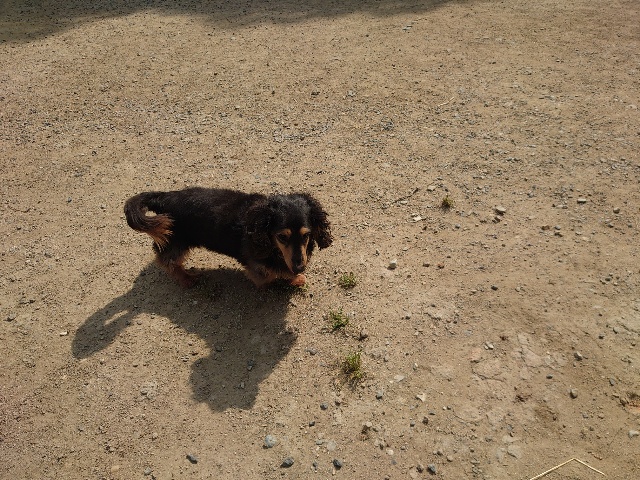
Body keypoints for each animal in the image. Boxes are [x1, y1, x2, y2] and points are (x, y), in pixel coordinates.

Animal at [124, 187, 333, 288]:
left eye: (307, 235)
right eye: (282, 237)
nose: (300, 268)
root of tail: (164, 197)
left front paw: (294, 277)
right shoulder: (257, 263)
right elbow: (268, 275)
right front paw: (288, 278)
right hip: (176, 241)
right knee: (167, 261)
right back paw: (186, 278)